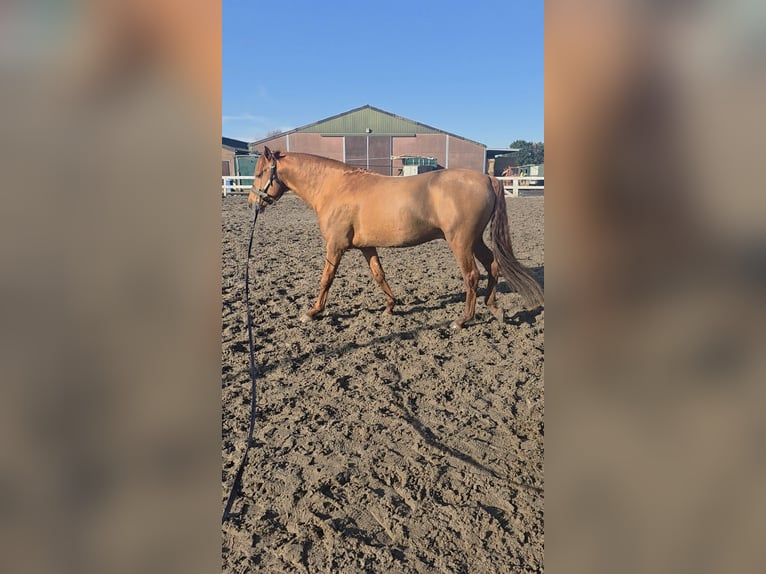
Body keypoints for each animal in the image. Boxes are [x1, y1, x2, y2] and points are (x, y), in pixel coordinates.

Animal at [248, 147, 543, 328]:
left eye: (260, 173)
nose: (253, 202)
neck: (336, 187)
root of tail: (488, 179)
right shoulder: (367, 247)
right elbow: (379, 275)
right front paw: (391, 306)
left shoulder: (335, 246)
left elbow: (326, 279)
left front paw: (312, 312)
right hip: (475, 240)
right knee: (492, 266)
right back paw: (494, 308)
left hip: (460, 242)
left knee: (472, 276)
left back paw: (462, 320)